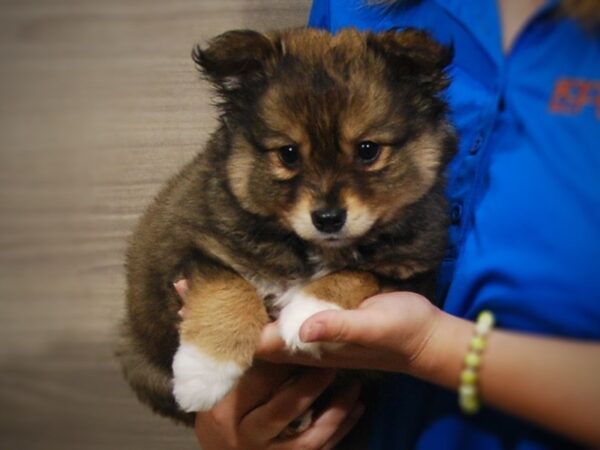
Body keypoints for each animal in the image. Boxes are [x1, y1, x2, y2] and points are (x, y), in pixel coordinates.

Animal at [117, 26, 454, 428]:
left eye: (368, 150)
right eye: (288, 154)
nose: (328, 219)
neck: (311, 247)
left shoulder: (414, 273)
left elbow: (358, 273)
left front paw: (308, 312)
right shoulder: (189, 248)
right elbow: (227, 286)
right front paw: (204, 374)